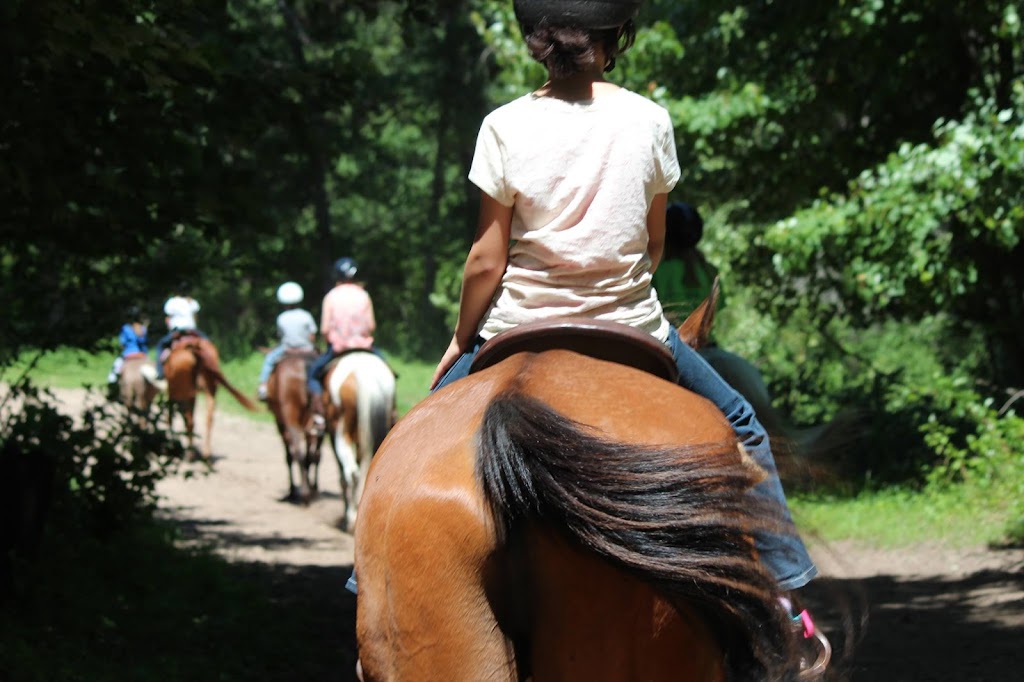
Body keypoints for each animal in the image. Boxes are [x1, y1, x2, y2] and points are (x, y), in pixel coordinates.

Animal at [264, 350, 323, 503]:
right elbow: (311, 455)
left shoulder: (280, 423)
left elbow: (289, 456)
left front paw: (292, 490)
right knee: (313, 454)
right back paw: (311, 490)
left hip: (290, 419)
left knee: (298, 453)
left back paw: (305, 493)